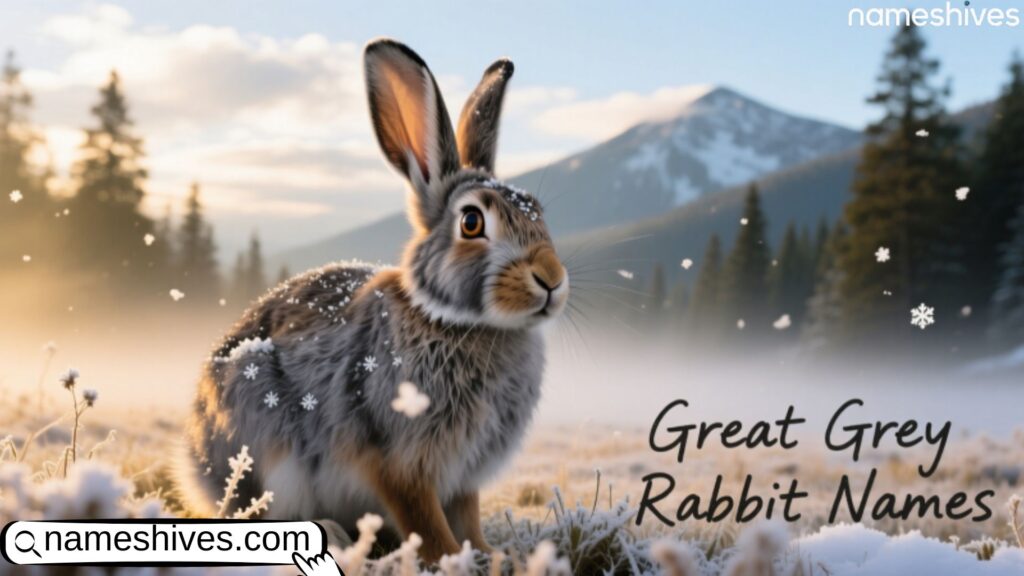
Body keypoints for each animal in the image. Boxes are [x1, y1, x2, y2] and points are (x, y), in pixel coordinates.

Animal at [176, 38, 569, 563]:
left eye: (539, 213)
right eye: (471, 222)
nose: (552, 280)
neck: (457, 320)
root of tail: (192, 463)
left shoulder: (463, 475)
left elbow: (466, 514)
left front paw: (489, 553)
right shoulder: (398, 458)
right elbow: (423, 517)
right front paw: (452, 560)